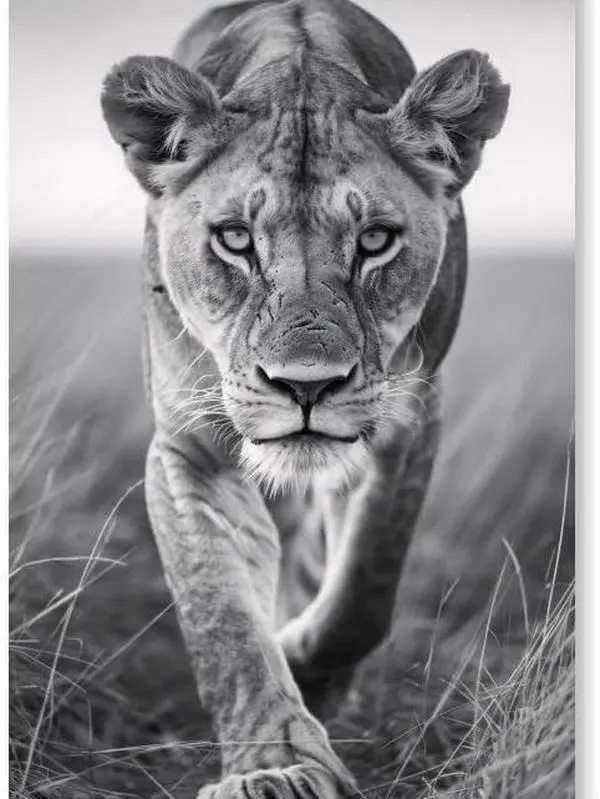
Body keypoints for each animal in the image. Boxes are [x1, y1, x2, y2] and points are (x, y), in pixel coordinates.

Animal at [100, 0, 509, 795]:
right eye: (234, 239)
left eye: (375, 240)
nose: (306, 386)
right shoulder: (191, 446)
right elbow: (223, 619)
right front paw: (278, 764)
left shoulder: (409, 419)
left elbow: (362, 592)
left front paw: (311, 674)